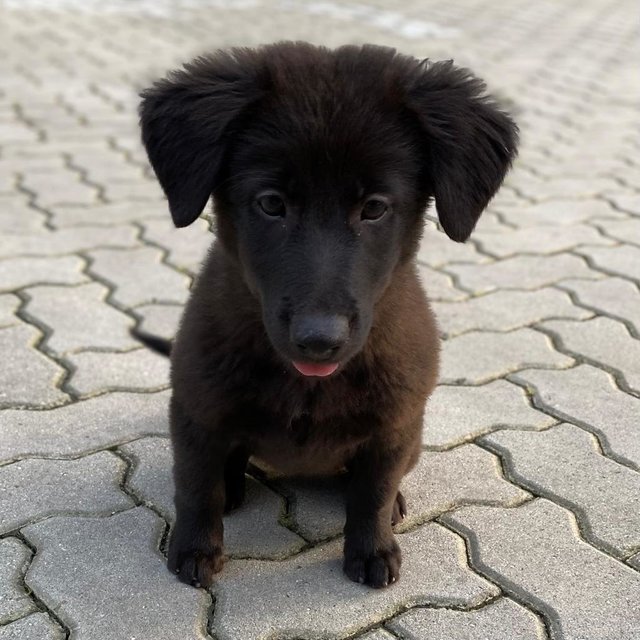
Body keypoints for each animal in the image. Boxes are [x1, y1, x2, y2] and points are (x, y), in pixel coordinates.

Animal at [138, 41, 516, 592]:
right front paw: (195, 548)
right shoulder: (196, 407)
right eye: (271, 204)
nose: (319, 340)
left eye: (375, 208)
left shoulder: (394, 425)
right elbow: (195, 485)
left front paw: (372, 547)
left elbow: (373, 493)